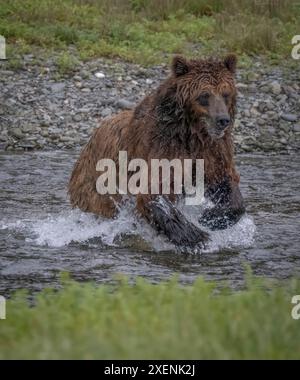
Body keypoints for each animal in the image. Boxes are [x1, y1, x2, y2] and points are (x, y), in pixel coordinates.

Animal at [69, 55, 245, 248]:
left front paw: (211, 218)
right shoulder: (162, 148)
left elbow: (224, 181)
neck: (191, 134)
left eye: (226, 93)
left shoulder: (212, 151)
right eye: (204, 95)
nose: (223, 120)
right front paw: (196, 235)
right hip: (98, 187)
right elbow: (154, 190)